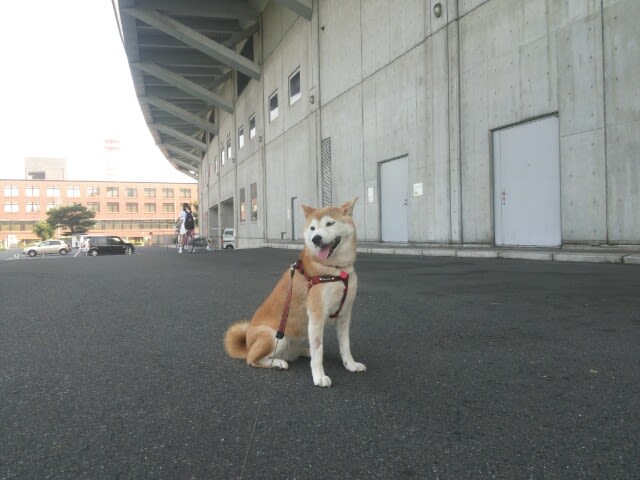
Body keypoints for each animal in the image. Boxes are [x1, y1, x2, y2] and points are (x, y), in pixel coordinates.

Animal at [224, 198, 366, 387]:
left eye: (330, 223)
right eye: (312, 228)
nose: (316, 239)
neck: (335, 270)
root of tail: (247, 343)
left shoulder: (344, 314)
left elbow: (345, 346)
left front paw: (350, 365)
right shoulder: (316, 315)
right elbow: (318, 352)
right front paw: (319, 377)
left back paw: (303, 352)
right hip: (275, 336)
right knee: (252, 359)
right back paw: (278, 363)